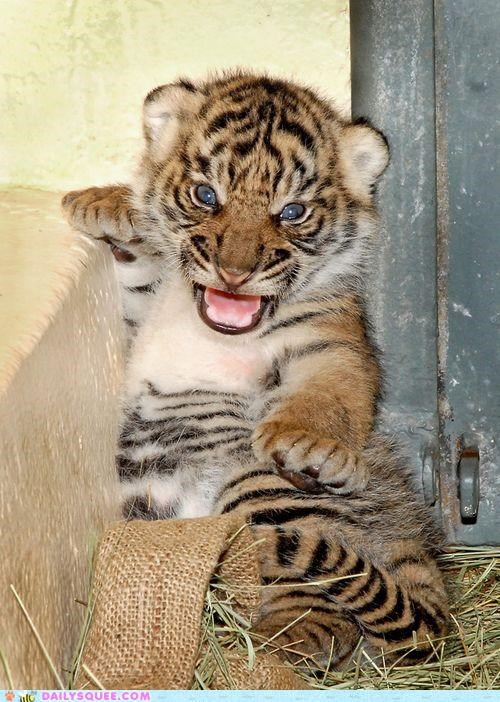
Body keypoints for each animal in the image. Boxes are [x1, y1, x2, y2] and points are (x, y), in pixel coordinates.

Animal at [62, 71, 448, 668]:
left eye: (291, 212)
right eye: (206, 196)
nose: (234, 273)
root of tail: (416, 548)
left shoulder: (329, 342)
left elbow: (331, 391)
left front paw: (310, 444)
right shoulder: (140, 307)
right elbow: (139, 264)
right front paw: (110, 205)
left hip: (262, 488)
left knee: (328, 619)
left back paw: (270, 647)